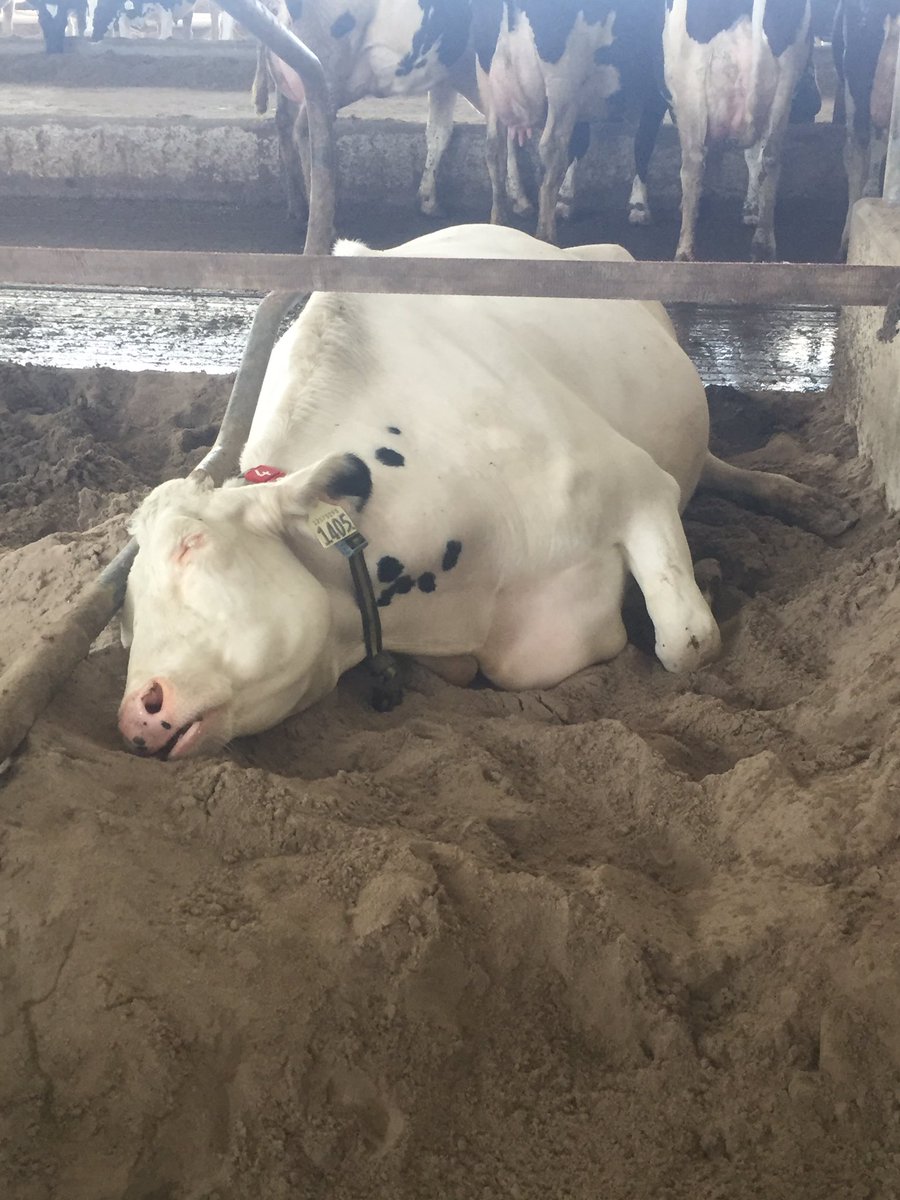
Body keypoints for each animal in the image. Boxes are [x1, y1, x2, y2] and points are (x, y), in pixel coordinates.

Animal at [473, 0, 669, 244]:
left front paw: (566, 200)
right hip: (563, 83)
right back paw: (546, 236)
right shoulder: (656, 89)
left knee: (494, 148)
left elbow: (581, 141)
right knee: (551, 148)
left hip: (488, 84)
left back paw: (498, 224)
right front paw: (639, 206)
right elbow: (643, 142)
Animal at [663, 0, 814, 261]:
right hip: (787, 78)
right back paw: (763, 245)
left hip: (690, 80)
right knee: (771, 158)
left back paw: (684, 252)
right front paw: (750, 209)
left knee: (693, 162)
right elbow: (752, 157)